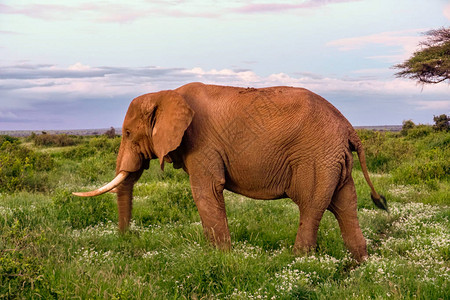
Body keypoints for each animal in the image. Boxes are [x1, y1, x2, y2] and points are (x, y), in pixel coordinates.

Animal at [74, 82, 386, 262]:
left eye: (128, 133)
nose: (126, 238)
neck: (165, 94)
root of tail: (349, 128)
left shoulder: (202, 143)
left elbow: (205, 191)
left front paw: (220, 258)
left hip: (316, 157)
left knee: (311, 206)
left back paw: (297, 262)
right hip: (334, 160)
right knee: (345, 205)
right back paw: (361, 265)